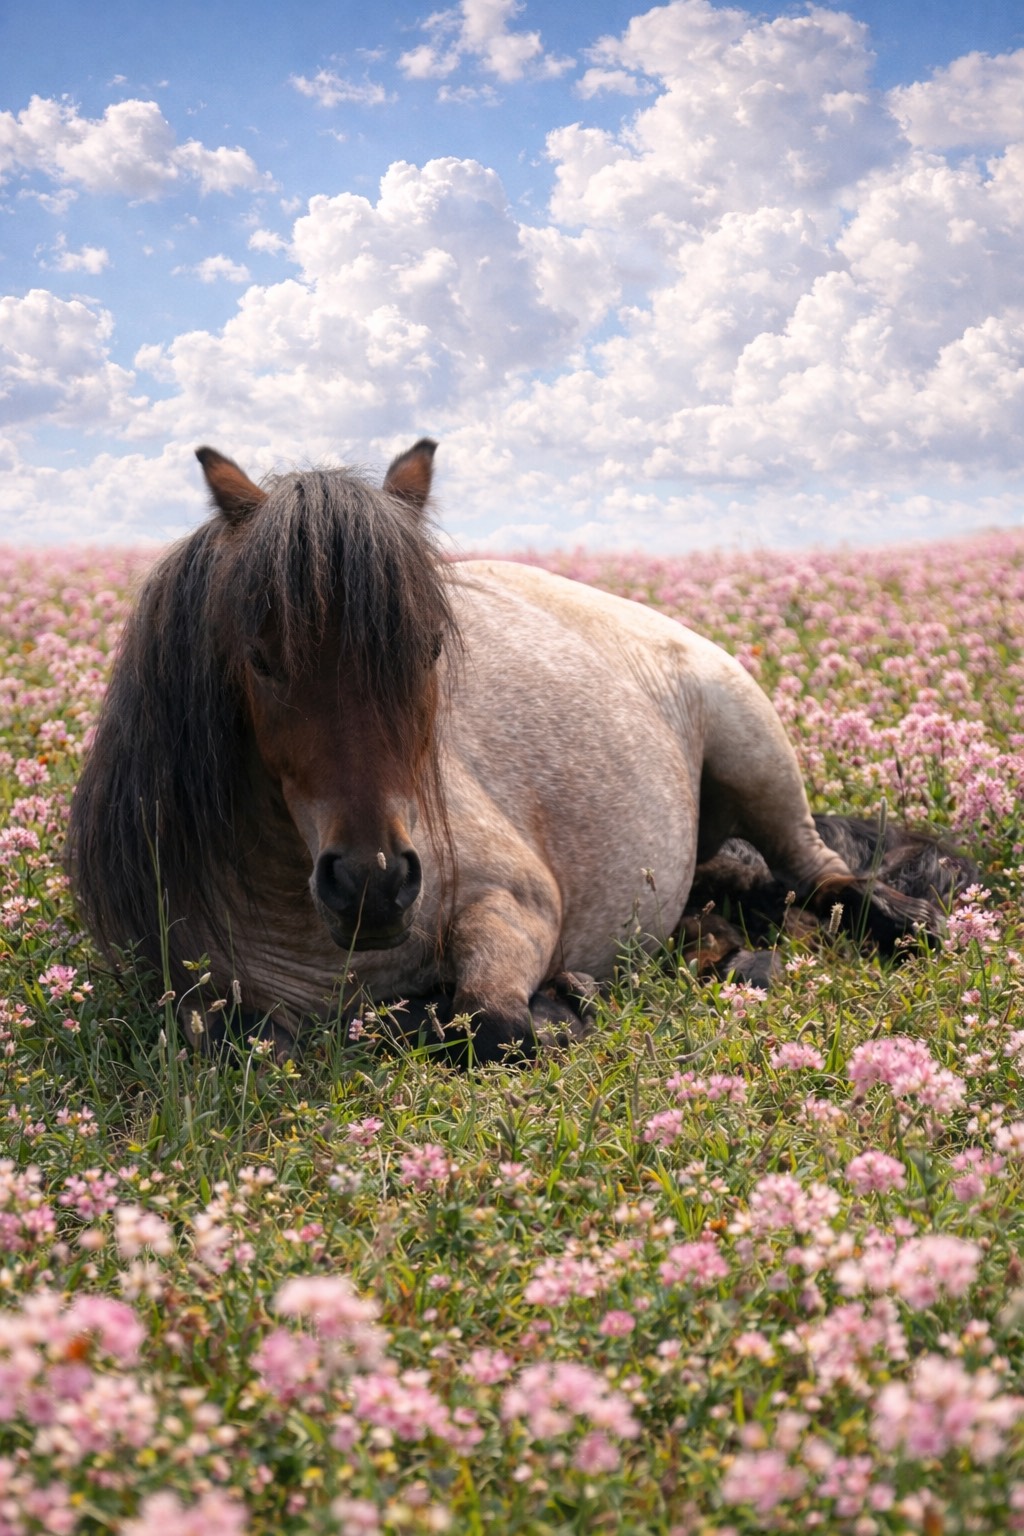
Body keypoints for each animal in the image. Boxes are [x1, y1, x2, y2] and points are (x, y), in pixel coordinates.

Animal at [67, 439, 949, 1063]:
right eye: (260, 656)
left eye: (428, 647)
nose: (373, 886)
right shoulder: (202, 998)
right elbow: (252, 1041)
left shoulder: (515, 902)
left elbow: (492, 1027)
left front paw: (556, 1000)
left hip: (757, 756)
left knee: (822, 876)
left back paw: (899, 924)